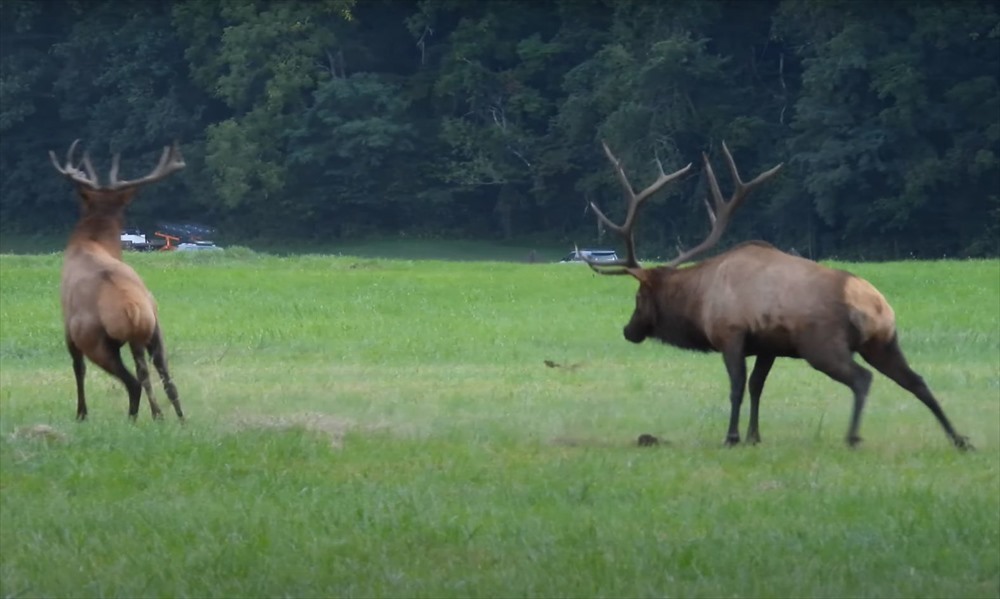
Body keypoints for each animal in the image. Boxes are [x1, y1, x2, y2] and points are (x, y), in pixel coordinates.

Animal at [51, 140, 188, 422]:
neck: (92, 243)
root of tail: (132, 310)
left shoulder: (68, 324)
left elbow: (77, 368)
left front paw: (81, 414)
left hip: (95, 339)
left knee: (134, 380)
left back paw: (145, 417)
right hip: (153, 327)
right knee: (163, 375)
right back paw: (179, 419)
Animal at [580, 141, 968, 450]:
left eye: (638, 297)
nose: (628, 330)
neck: (700, 301)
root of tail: (873, 304)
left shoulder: (731, 334)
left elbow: (737, 386)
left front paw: (732, 437)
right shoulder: (768, 345)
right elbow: (757, 387)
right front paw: (754, 436)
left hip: (822, 344)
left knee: (862, 379)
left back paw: (853, 437)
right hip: (883, 341)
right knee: (916, 380)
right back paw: (959, 439)